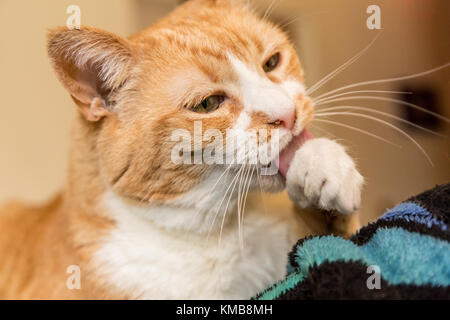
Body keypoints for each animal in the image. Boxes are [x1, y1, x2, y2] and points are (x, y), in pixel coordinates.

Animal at [0, 0, 362, 300]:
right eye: (208, 104)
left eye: (271, 62)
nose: (288, 115)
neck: (210, 233)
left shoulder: (301, 261)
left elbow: (329, 243)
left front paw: (321, 163)